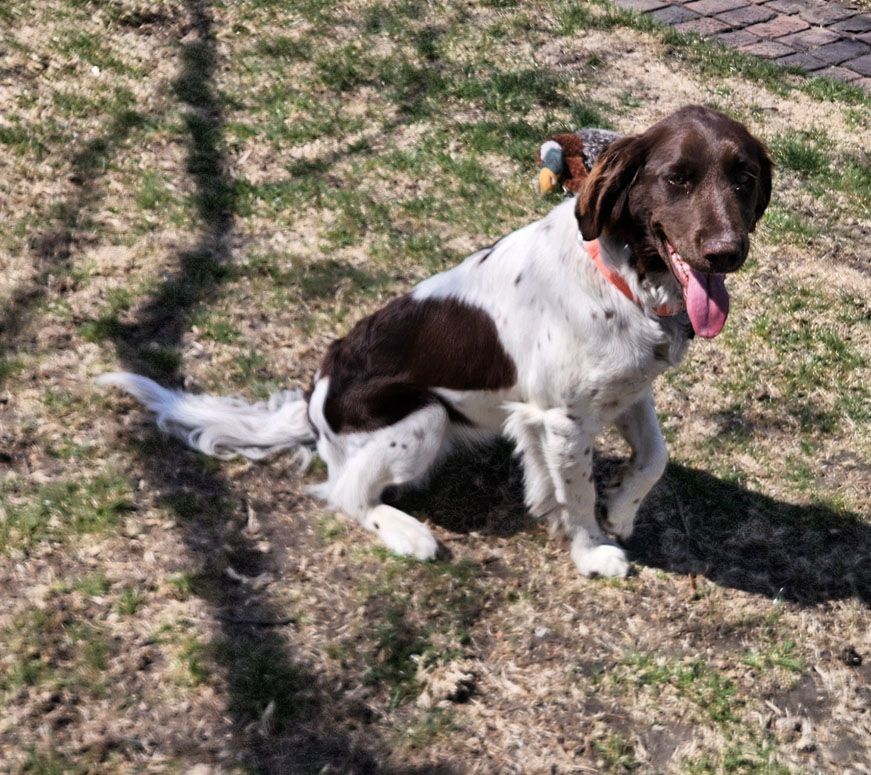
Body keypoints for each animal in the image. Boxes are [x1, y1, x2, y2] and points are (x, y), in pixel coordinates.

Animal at [99, 105, 772, 578]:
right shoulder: (561, 417)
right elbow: (578, 492)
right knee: (343, 492)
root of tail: (315, 398)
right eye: (677, 179)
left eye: (743, 178)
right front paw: (592, 552)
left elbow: (653, 457)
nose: (727, 253)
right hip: (421, 417)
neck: (623, 275)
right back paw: (407, 533)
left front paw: (623, 508)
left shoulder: (626, 390)